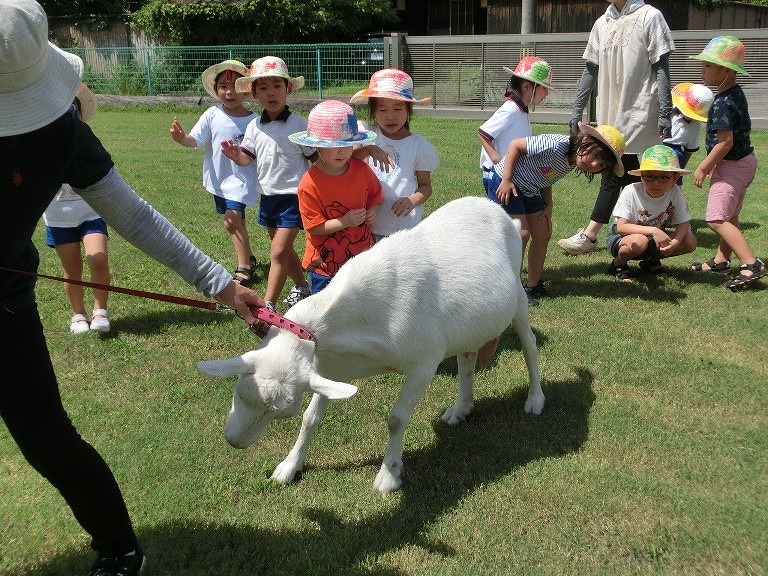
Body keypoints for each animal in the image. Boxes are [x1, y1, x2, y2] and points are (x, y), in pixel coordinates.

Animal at [198, 196, 544, 494]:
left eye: (281, 413)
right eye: (238, 393)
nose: (235, 441)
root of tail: (505, 216)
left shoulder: (424, 363)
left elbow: (396, 419)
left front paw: (388, 476)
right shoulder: (330, 368)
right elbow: (311, 419)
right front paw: (289, 466)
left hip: (517, 298)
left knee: (529, 346)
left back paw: (534, 400)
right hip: (467, 324)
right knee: (468, 354)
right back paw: (461, 409)